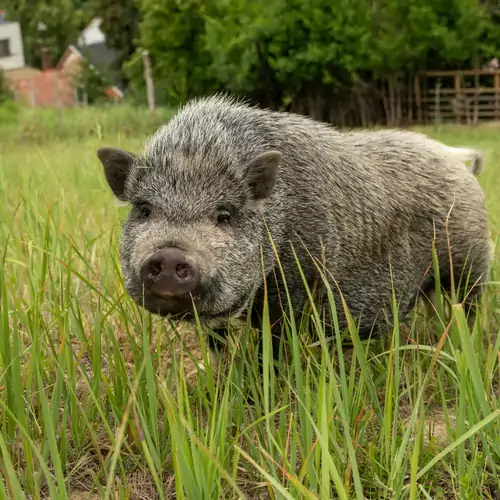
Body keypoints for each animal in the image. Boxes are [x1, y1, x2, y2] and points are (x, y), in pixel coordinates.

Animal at [95, 94, 490, 360]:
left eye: (224, 215)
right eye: (144, 209)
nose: (169, 253)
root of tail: (457, 161)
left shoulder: (298, 281)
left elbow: (276, 343)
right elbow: (218, 345)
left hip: (472, 261)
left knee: (470, 303)